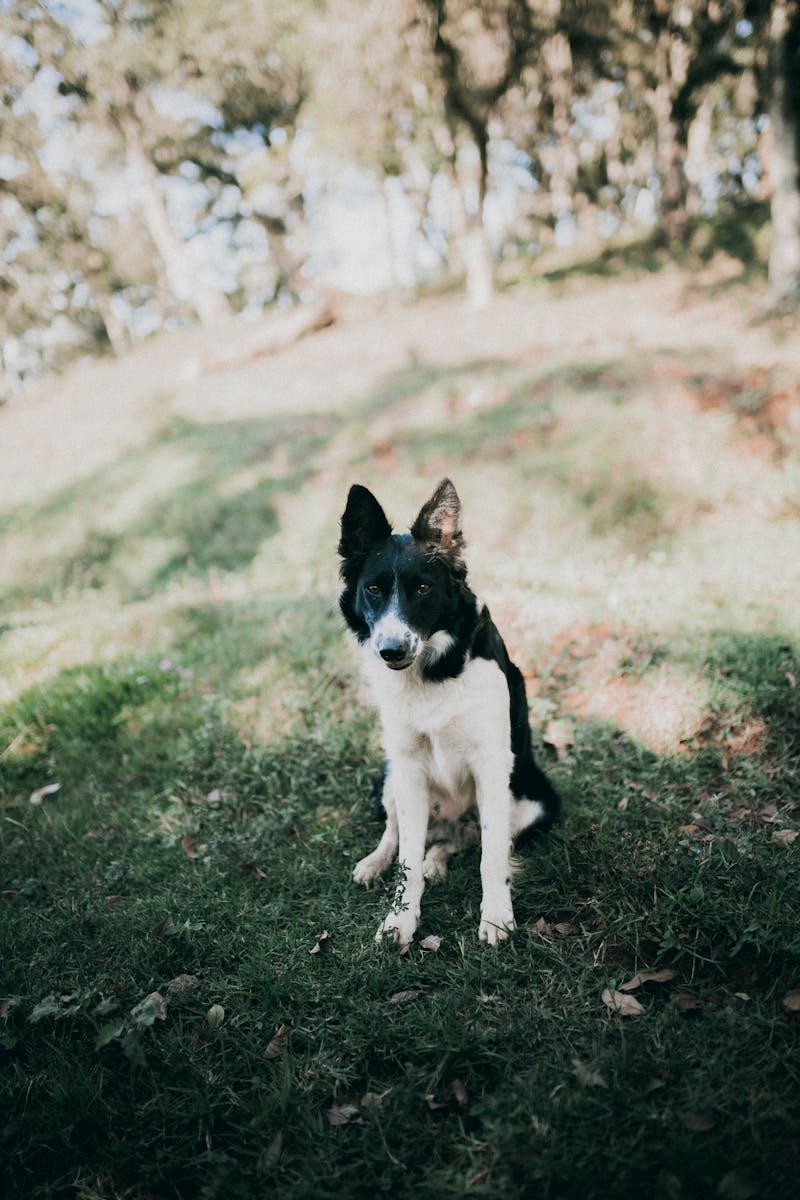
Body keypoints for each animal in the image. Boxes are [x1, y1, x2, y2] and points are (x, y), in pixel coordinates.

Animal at [335, 477, 556, 945]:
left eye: (423, 588)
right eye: (373, 589)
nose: (391, 650)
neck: (432, 670)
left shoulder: (492, 763)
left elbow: (492, 855)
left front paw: (496, 918)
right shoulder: (407, 765)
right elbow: (406, 858)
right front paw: (399, 922)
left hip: (532, 802)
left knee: (463, 840)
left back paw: (438, 860)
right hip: (389, 778)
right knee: (398, 833)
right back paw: (377, 862)